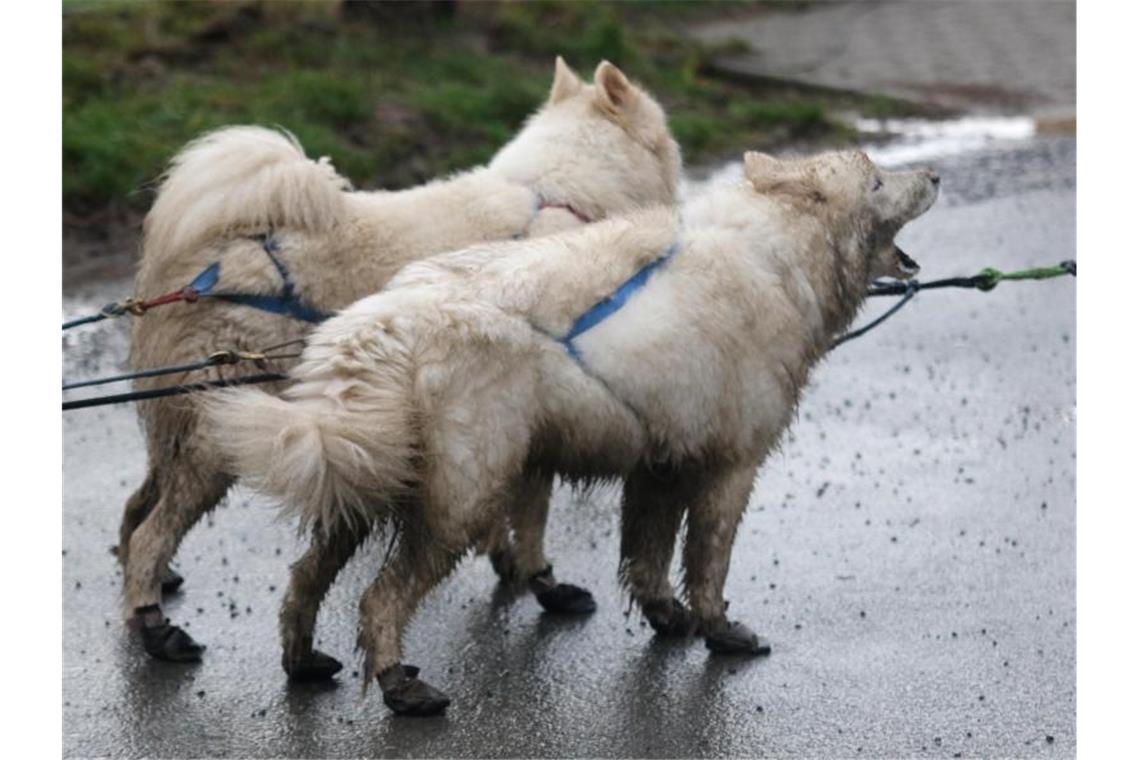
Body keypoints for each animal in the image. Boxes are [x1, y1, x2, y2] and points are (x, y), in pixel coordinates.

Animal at [207, 146, 943, 715]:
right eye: (878, 180)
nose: (936, 174)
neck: (776, 252)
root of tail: (375, 327)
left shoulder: (661, 461)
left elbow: (648, 557)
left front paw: (665, 617)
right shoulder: (729, 463)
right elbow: (708, 560)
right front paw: (719, 629)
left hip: (360, 473)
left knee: (304, 578)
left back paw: (303, 660)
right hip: (460, 496)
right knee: (379, 598)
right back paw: (400, 688)